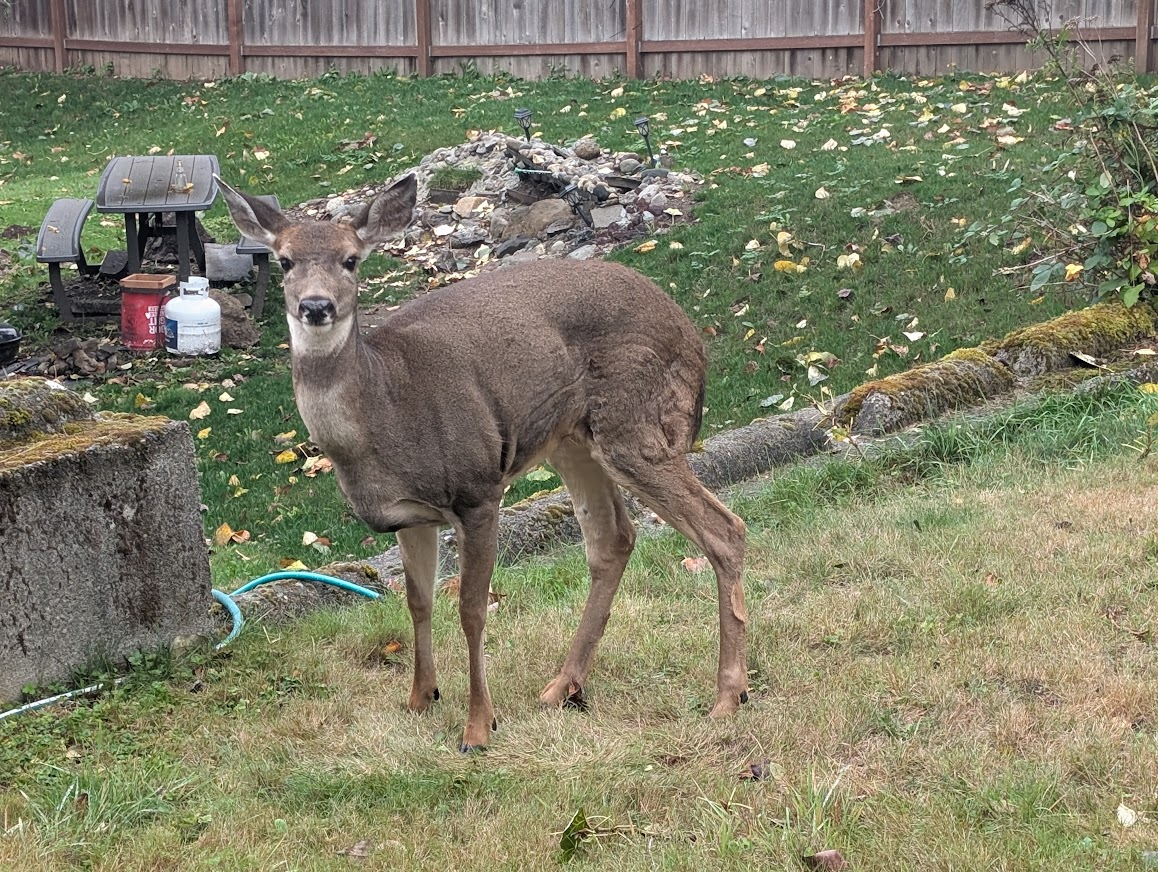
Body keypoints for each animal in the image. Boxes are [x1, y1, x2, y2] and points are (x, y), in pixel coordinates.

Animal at [216, 173, 749, 751]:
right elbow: (418, 601)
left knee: (725, 528)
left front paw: (478, 726)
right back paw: (562, 687)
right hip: (571, 440)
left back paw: (728, 697)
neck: (384, 413)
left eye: (351, 259)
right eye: (285, 260)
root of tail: (691, 332)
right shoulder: (409, 516)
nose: (316, 306)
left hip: (639, 424)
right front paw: (420, 698)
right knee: (614, 539)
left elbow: (472, 608)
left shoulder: (477, 489)